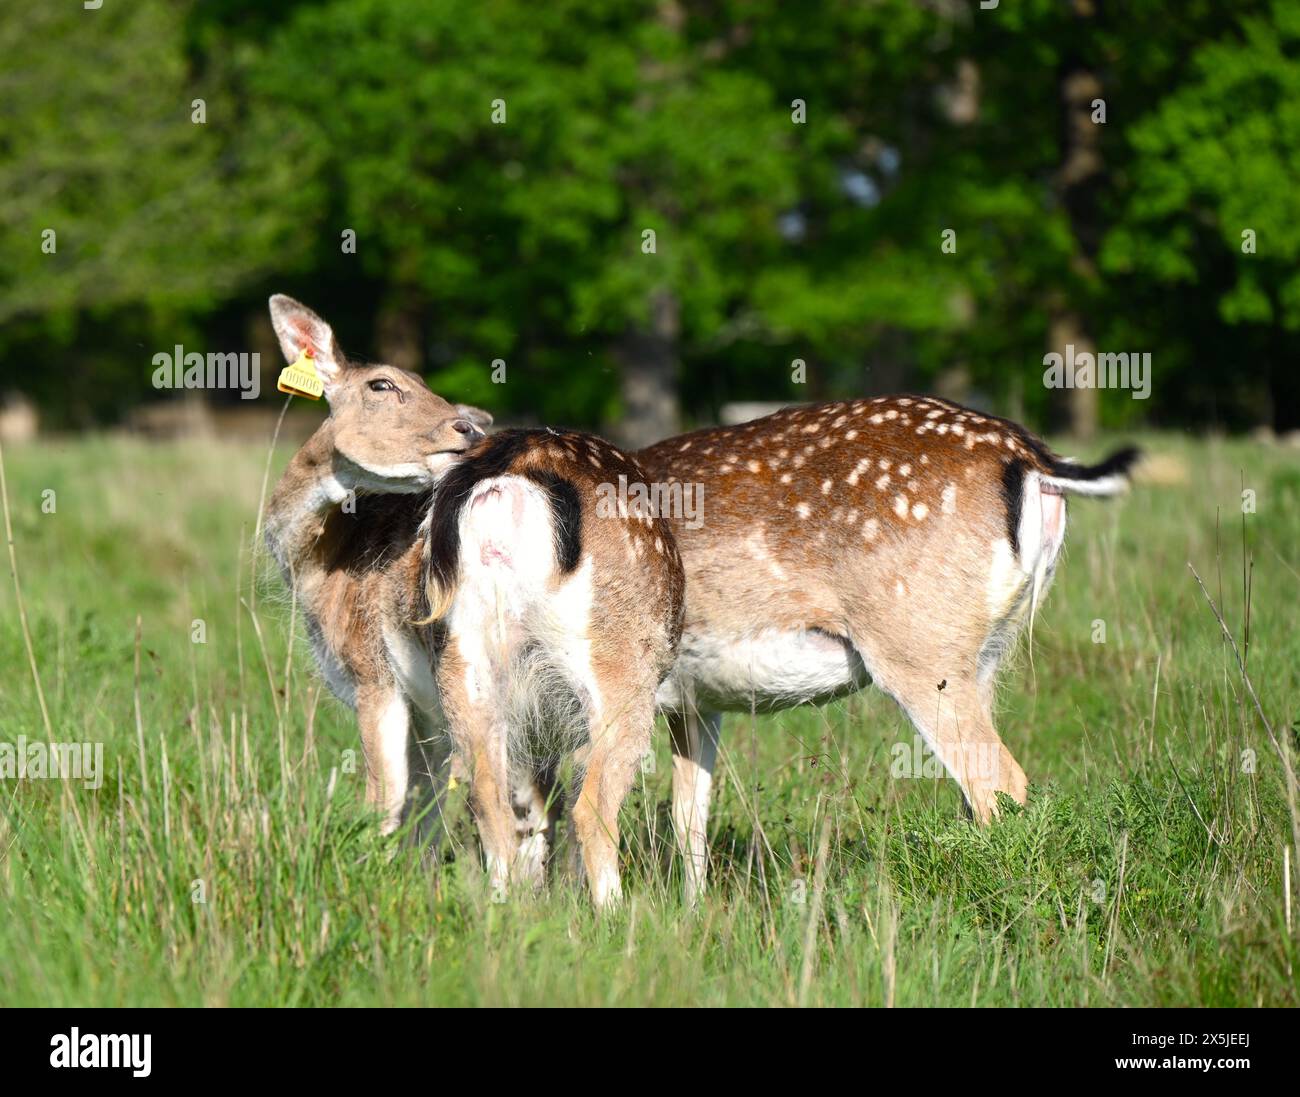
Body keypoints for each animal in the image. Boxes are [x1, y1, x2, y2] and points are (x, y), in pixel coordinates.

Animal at [632, 395, 1138, 903]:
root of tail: (1033, 457)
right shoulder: (695, 704)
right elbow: (688, 816)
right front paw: (694, 911)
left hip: (920, 648)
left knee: (1001, 781)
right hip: (987, 654)